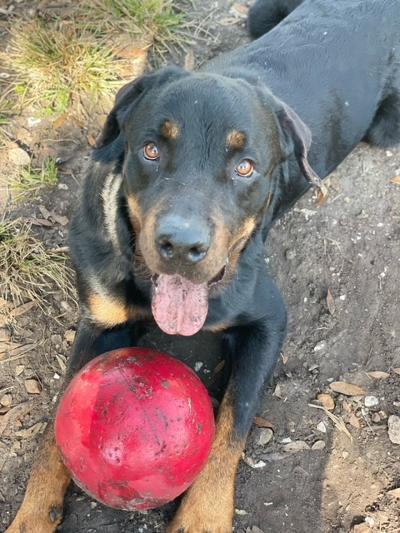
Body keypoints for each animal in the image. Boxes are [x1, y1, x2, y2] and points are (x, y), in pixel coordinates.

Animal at [7, 0, 400, 528]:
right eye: (151, 150)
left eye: (245, 167)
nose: (180, 244)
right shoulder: (101, 321)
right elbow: (54, 431)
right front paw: (30, 517)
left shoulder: (268, 321)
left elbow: (232, 423)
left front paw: (203, 518)